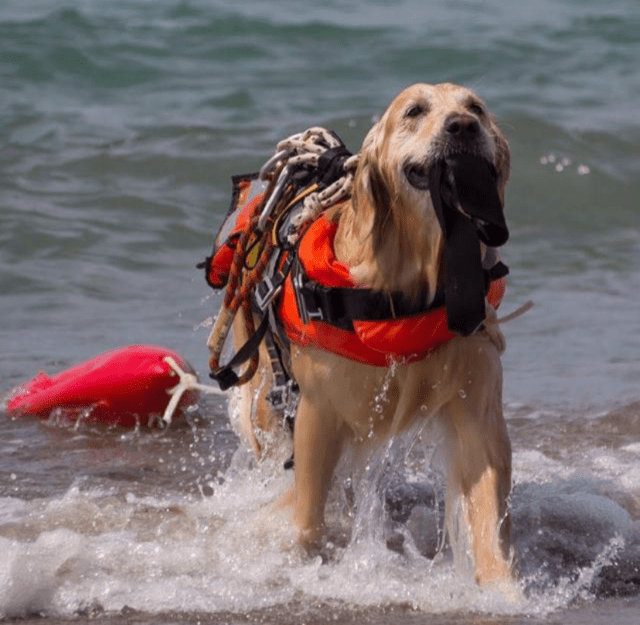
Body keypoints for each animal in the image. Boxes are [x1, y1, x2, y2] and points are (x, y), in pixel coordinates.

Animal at [228, 83, 512, 584]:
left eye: (476, 108)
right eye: (414, 111)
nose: (462, 126)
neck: (411, 287)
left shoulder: (477, 406)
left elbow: (487, 520)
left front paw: (504, 590)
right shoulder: (319, 412)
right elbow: (306, 516)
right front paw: (297, 554)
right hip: (266, 396)